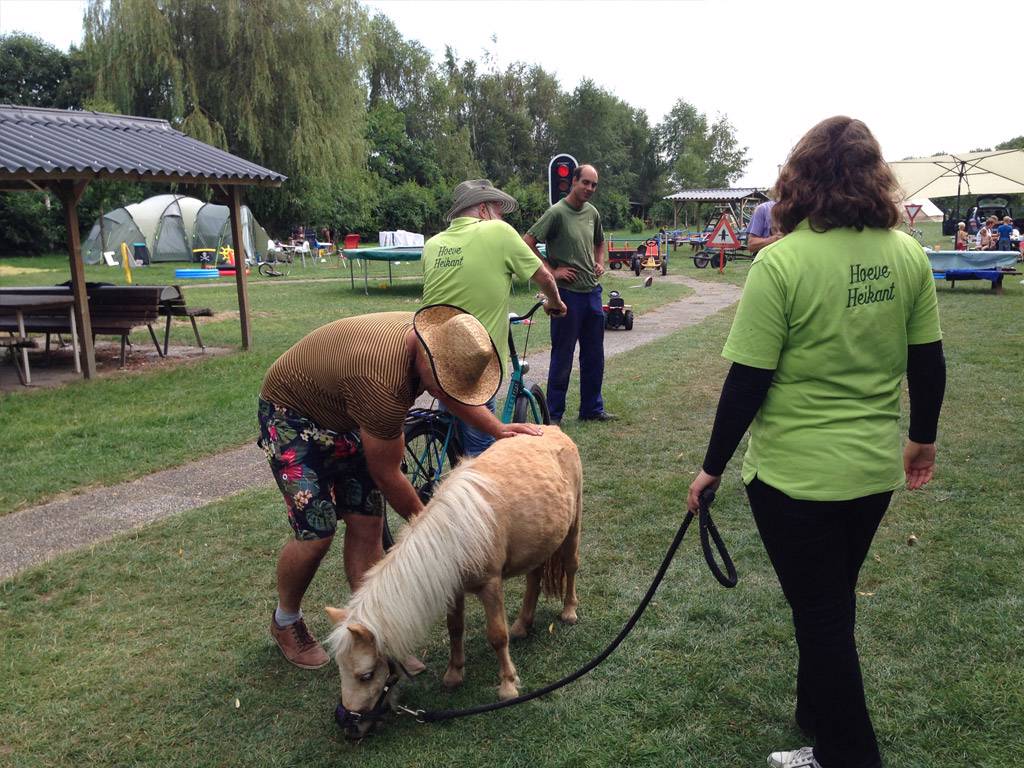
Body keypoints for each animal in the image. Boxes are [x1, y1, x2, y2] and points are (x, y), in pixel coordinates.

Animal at [327, 428, 585, 733]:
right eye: (340, 669)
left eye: (365, 675)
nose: (348, 723)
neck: (455, 537)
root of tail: (553, 431)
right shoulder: (453, 589)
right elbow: (454, 629)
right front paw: (454, 674)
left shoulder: (490, 586)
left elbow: (497, 636)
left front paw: (508, 685)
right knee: (534, 578)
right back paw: (523, 625)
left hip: (573, 527)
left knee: (571, 566)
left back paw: (569, 611)